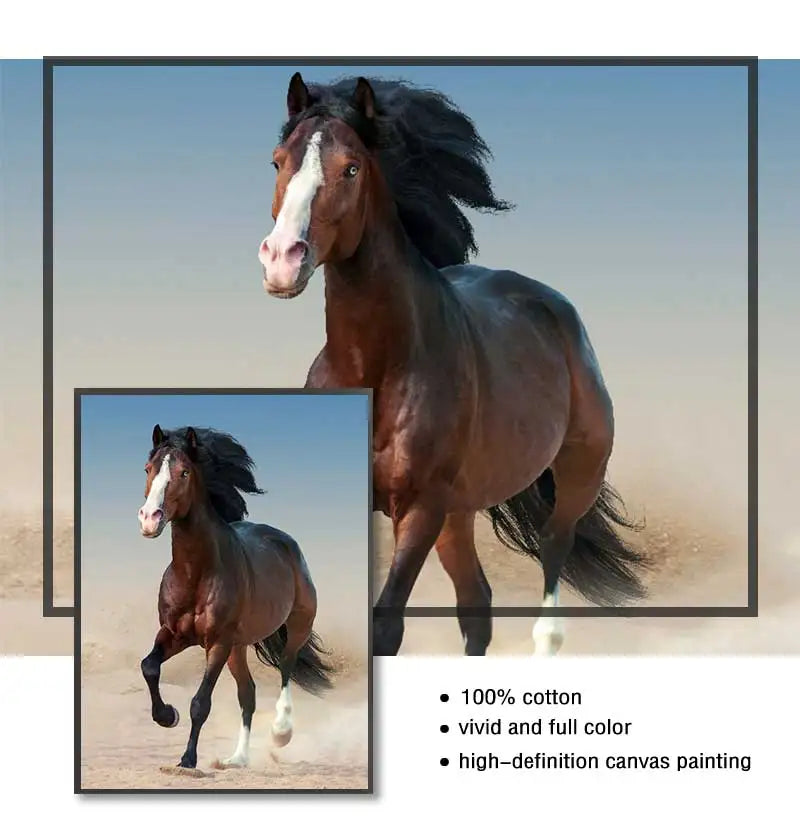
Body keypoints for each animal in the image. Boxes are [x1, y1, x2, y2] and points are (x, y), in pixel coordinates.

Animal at [137, 423, 333, 770]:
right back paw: (237, 759)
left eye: (184, 472)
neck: (196, 573)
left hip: (295, 626)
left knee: (286, 667)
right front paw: (167, 716)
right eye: (148, 469)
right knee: (248, 694)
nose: (150, 519)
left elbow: (200, 703)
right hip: (238, 649)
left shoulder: (217, 642)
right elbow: (149, 666)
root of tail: (286, 542)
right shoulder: (174, 634)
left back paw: (281, 732)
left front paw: (188, 760)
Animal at [258, 72, 650, 657]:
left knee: (553, 548)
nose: (283, 259)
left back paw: (546, 638)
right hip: (459, 514)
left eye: (351, 167)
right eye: (278, 162)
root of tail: (552, 306)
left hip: (575, 474)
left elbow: (388, 625)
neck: (377, 368)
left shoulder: (419, 509)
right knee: (477, 604)